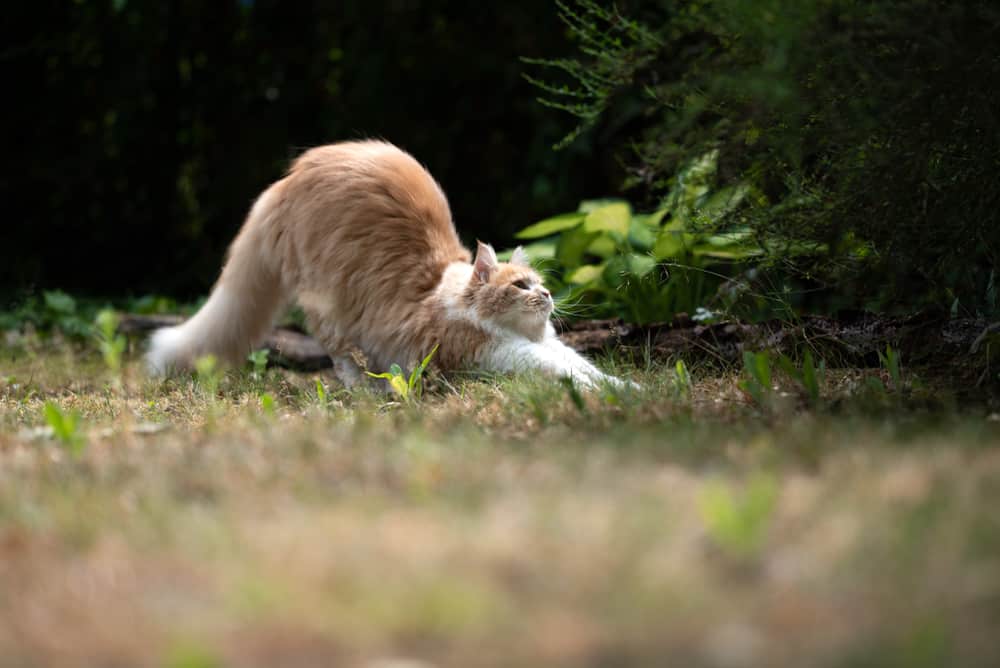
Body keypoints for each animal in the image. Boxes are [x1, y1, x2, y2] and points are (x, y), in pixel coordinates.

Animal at [144, 142, 624, 392]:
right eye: (521, 286)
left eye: (539, 284)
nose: (546, 296)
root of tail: (286, 182)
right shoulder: (506, 356)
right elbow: (572, 376)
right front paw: (615, 395)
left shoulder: (551, 348)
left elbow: (588, 369)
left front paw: (628, 390)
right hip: (331, 308)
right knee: (342, 359)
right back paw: (370, 390)